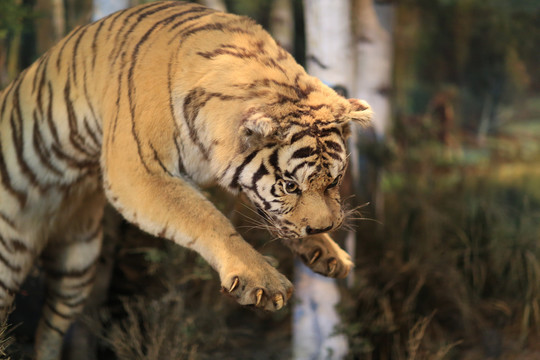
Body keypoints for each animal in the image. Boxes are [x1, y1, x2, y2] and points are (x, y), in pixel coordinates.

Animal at [0, 1, 372, 358]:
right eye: (291, 186)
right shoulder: (138, 173)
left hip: (77, 265)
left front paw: (328, 252)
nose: (324, 228)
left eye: (334, 181)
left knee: (48, 331)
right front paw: (263, 280)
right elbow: (206, 217)